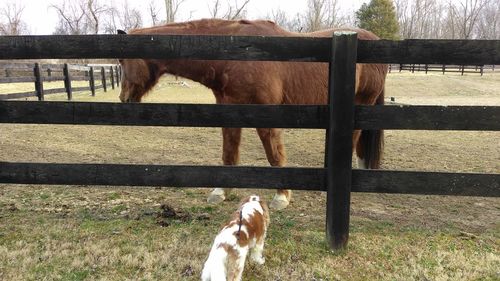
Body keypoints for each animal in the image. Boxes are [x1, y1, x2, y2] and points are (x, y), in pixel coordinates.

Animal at [117, 18, 386, 209]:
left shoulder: (267, 115)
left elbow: (274, 155)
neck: (237, 56)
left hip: (362, 104)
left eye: (121, 60)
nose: (123, 99)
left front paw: (282, 197)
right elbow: (229, 153)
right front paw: (220, 192)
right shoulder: (229, 109)